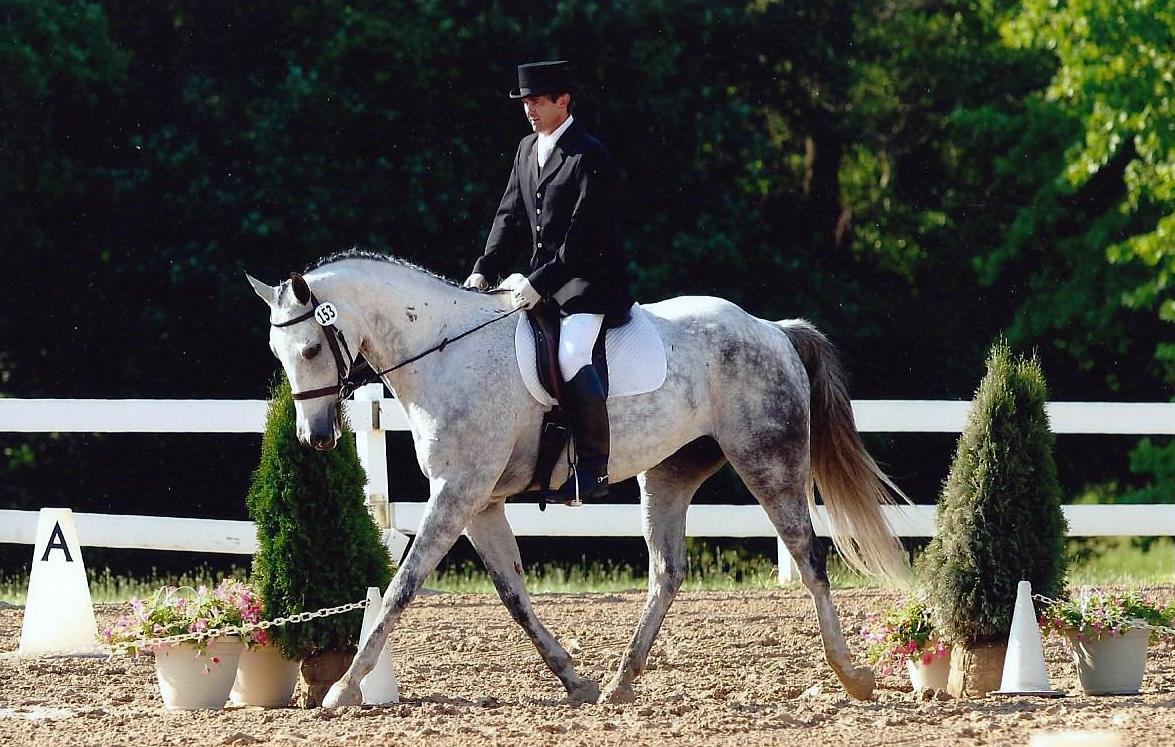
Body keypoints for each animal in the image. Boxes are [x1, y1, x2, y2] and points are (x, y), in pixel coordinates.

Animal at [246, 250, 909, 707]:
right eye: (278, 354)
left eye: (310, 350)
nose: (315, 438)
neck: (444, 353)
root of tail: (771, 328)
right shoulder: (479, 503)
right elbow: (513, 595)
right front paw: (574, 680)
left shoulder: (456, 494)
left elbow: (401, 588)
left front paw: (344, 689)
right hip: (667, 475)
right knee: (667, 572)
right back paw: (619, 682)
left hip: (768, 461)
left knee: (808, 557)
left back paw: (852, 675)